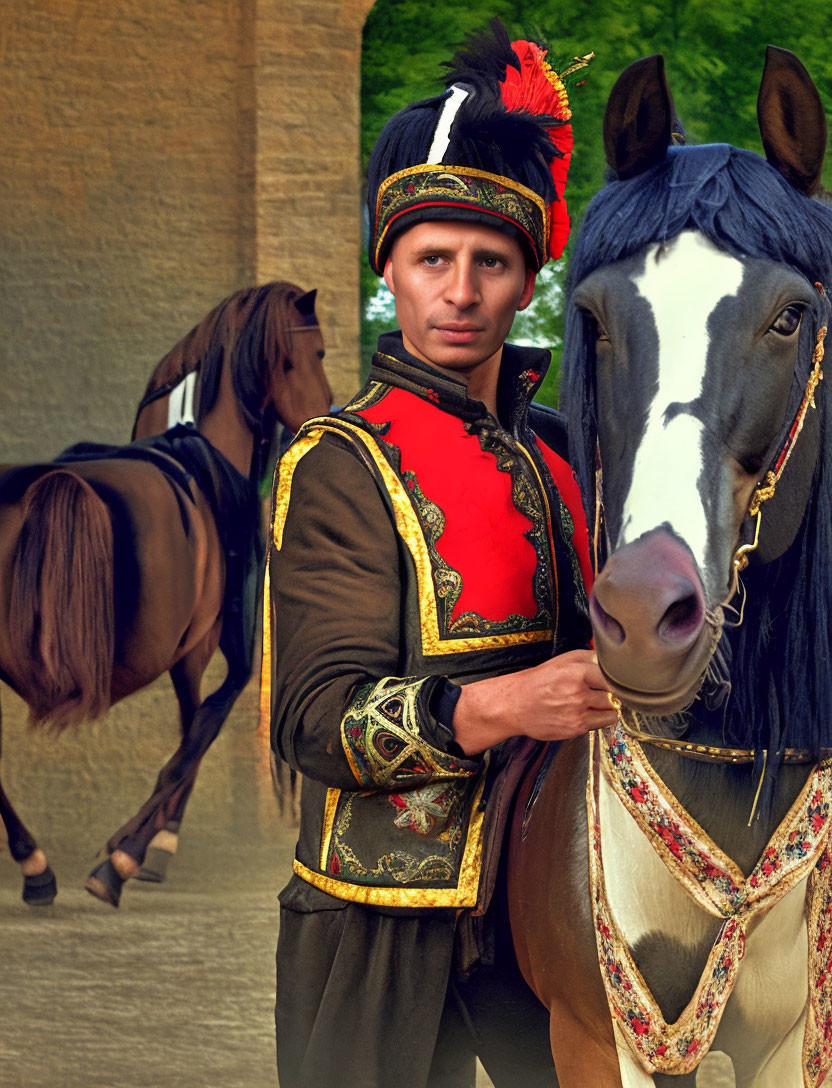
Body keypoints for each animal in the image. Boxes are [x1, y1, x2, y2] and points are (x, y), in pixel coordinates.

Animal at [0, 282, 330, 909]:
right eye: (318, 351)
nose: (325, 416)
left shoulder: (194, 651)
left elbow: (191, 726)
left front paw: (149, 844)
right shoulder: (220, 644)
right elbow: (200, 729)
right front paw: (127, 854)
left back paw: (37, 867)